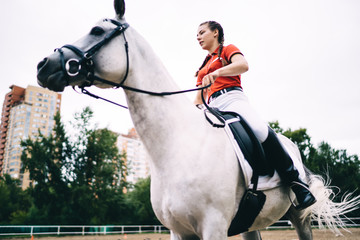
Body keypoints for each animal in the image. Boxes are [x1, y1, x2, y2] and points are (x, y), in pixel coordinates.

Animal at [37, 0, 360, 239]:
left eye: (96, 30)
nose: (43, 65)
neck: (177, 148)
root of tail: (292, 145)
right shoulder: (178, 231)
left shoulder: (212, 227)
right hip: (250, 224)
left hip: (298, 216)